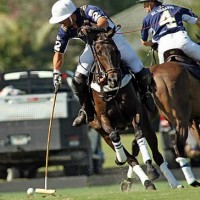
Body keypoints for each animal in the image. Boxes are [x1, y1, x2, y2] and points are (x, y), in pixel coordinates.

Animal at [77, 25, 182, 191]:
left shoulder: (136, 113)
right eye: (98, 53)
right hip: (100, 130)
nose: (113, 79)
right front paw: (120, 158)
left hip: (148, 122)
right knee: (129, 155)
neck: (111, 90)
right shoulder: (103, 119)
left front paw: (150, 169)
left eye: (115, 50)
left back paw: (173, 182)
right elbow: (115, 137)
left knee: (155, 153)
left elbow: (139, 135)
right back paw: (142, 181)